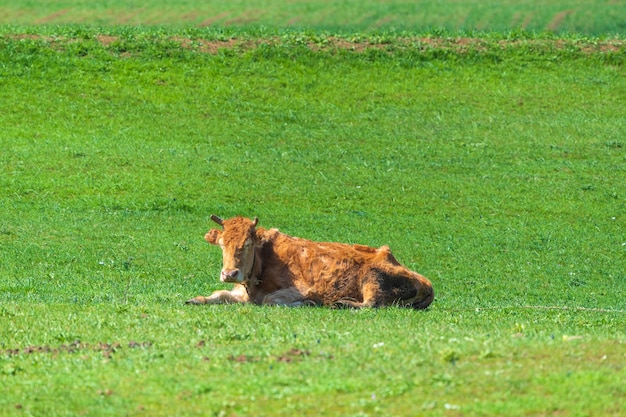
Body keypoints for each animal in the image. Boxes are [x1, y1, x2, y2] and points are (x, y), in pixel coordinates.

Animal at [183, 214, 432, 308]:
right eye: (222, 244)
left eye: (247, 244)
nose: (229, 274)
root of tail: (427, 284)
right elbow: (219, 294)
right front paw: (195, 299)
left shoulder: (301, 289)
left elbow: (272, 300)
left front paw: (306, 303)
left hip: (373, 279)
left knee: (370, 304)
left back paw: (342, 303)